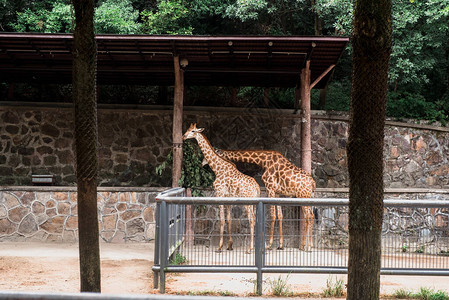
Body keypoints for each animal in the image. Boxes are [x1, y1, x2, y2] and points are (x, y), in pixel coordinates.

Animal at [182, 123, 260, 253]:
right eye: (187, 129)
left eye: (192, 131)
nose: (183, 136)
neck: (218, 169)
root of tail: (257, 187)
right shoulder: (228, 197)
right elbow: (228, 219)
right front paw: (230, 246)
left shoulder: (219, 194)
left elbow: (222, 220)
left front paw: (219, 247)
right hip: (254, 203)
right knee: (255, 219)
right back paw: (253, 247)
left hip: (248, 202)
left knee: (252, 219)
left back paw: (250, 248)